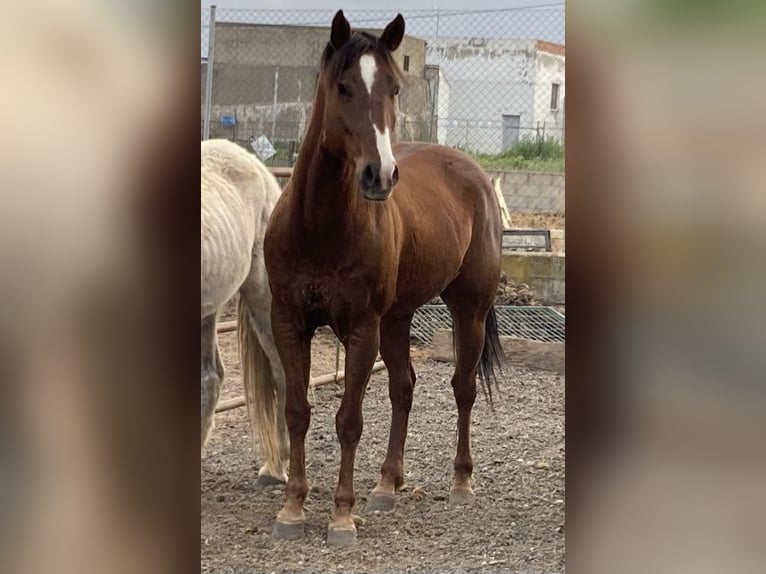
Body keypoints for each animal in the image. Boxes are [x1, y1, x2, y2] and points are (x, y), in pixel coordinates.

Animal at [263, 11, 503, 545]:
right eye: (343, 87)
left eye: (393, 88)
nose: (381, 175)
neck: (319, 226)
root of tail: (474, 173)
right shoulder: (289, 323)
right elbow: (297, 412)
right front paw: (291, 509)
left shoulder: (361, 329)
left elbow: (349, 420)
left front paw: (341, 515)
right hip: (397, 319)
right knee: (404, 387)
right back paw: (388, 484)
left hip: (468, 311)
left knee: (463, 387)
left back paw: (461, 481)